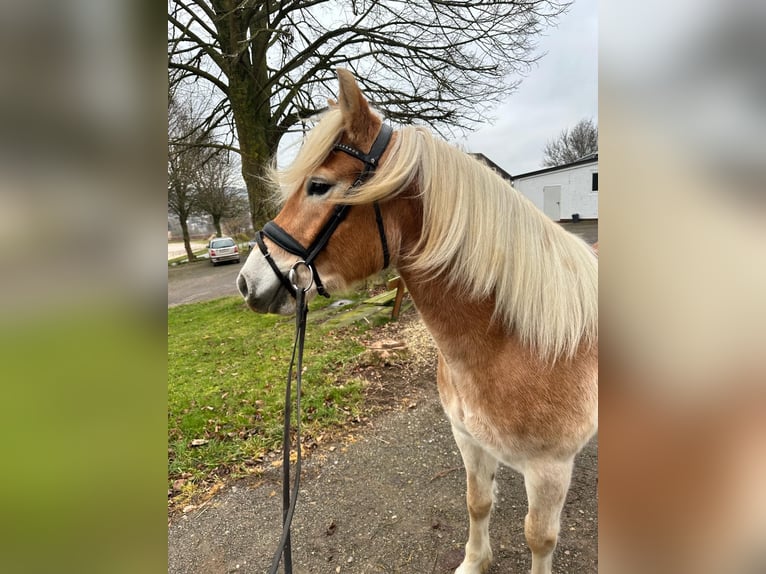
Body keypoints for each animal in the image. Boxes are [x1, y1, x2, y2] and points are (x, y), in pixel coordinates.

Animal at [236, 68, 600, 574]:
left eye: (319, 186)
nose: (247, 282)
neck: (509, 343)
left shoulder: (550, 470)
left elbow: (539, 538)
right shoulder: (468, 440)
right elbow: (477, 503)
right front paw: (474, 562)